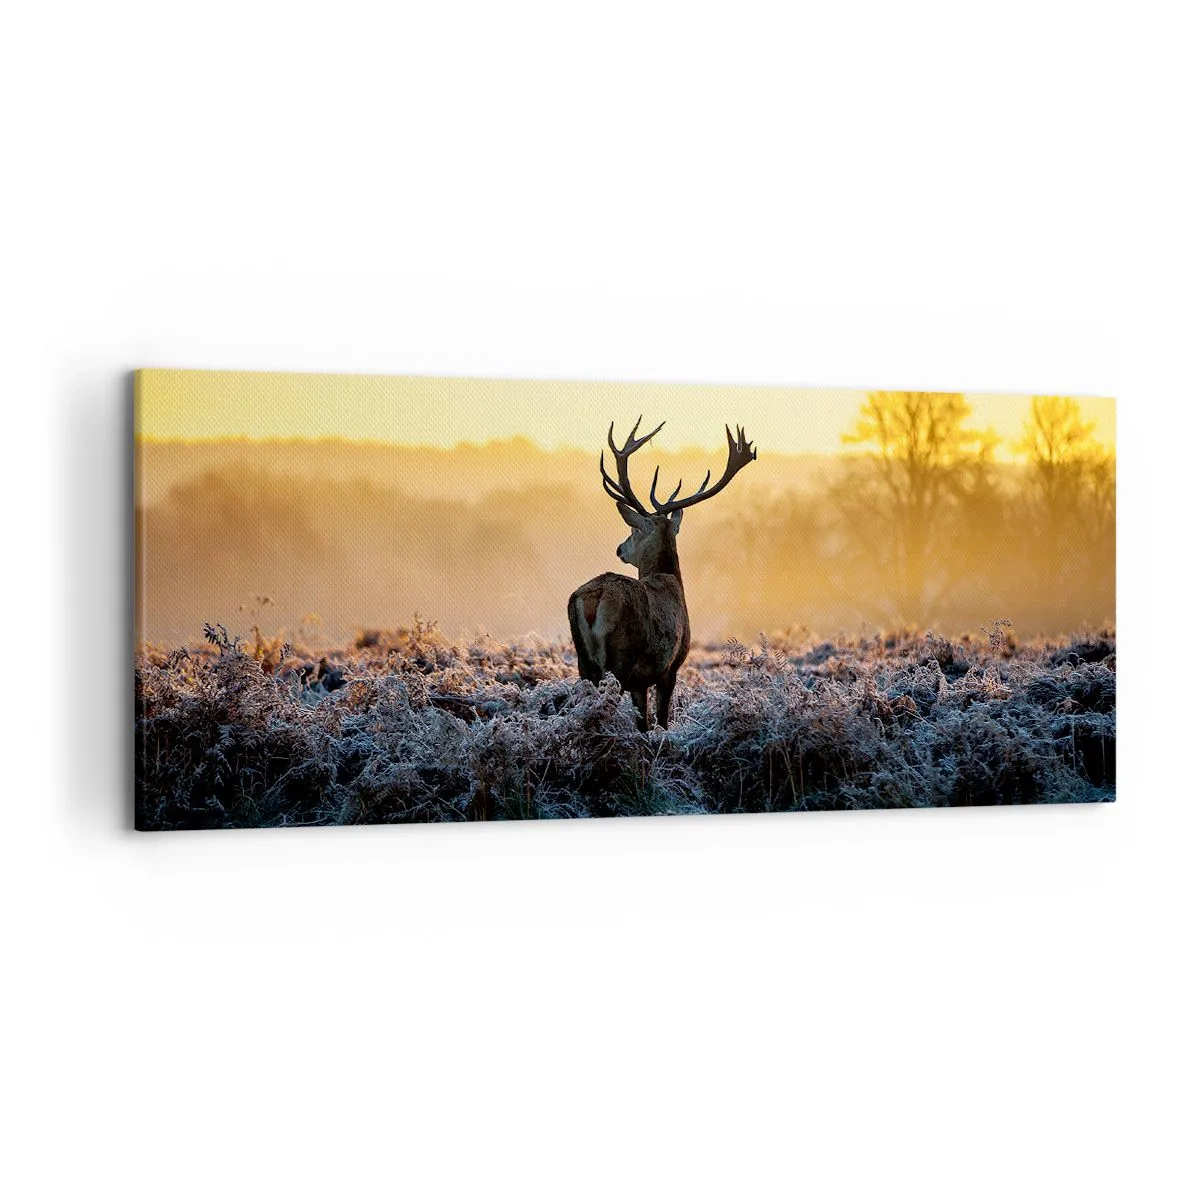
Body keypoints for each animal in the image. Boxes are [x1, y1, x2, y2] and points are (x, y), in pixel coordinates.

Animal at [568, 418, 757, 732]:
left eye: (632, 531)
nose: (620, 548)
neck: (669, 579)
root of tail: (595, 597)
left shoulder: (641, 681)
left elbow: (643, 722)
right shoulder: (670, 666)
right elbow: (662, 720)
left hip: (584, 662)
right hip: (620, 658)